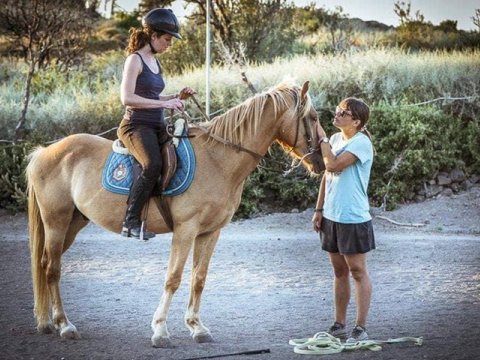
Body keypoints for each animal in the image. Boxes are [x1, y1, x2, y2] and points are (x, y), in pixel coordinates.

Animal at [27, 81, 326, 346]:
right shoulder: (185, 229)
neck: (218, 159)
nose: (322, 161)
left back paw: (47, 323)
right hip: (56, 222)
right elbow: (173, 278)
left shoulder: (210, 232)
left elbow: (199, 279)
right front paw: (160, 330)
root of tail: (45, 152)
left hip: (73, 223)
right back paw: (65, 325)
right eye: (312, 117)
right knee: (52, 269)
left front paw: (197, 327)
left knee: (44, 264)